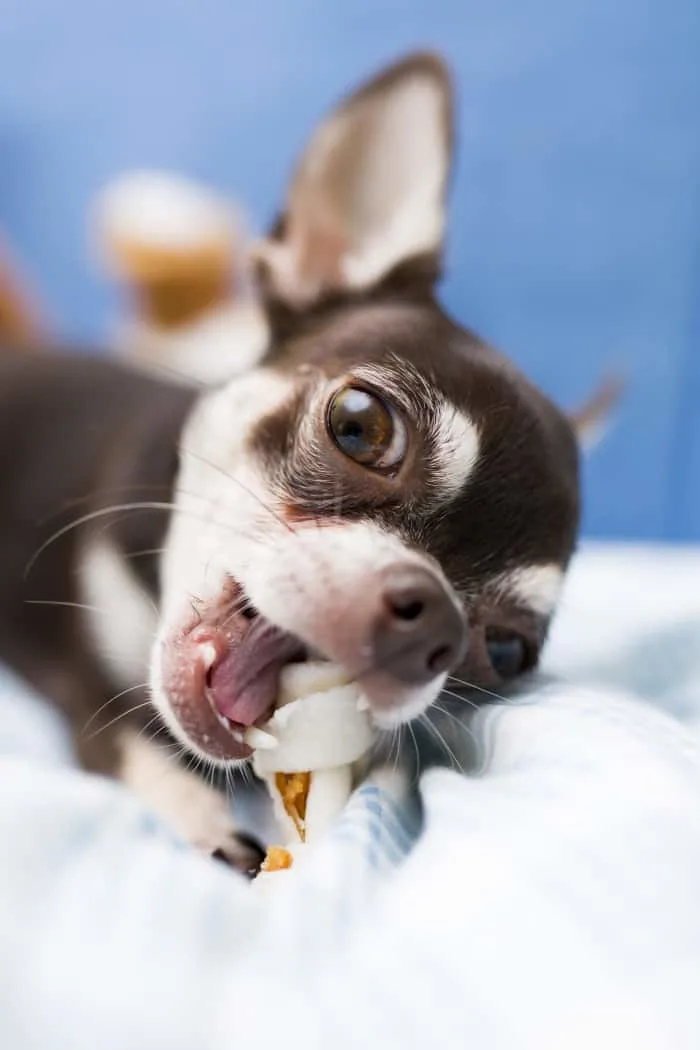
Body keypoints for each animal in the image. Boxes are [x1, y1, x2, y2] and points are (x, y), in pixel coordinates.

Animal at [0, 51, 604, 869]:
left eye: (505, 651)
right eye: (359, 425)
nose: (433, 624)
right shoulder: (80, 675)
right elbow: (130, 745)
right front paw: (203, 817)